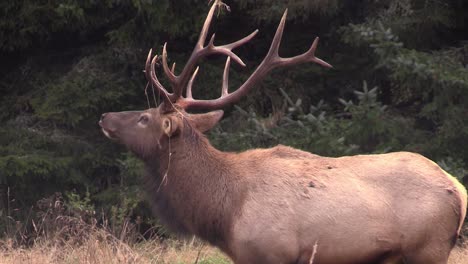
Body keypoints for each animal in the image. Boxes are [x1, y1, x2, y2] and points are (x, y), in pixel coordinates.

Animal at [98, 1, 464, 262]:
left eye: (144, 117)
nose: (104, 117)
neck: (224, 213)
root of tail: (459, 191)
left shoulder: (271, 251)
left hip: (427, 249)